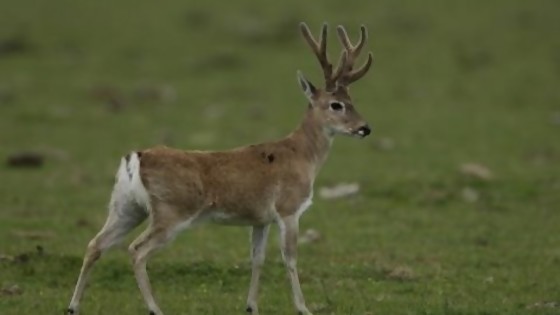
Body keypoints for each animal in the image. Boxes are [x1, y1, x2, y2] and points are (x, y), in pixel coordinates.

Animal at [68, 22, 376, 315]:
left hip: (126, 207)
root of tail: (136, 157)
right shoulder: (288, 209)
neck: (301, 156)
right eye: (336, 104)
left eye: (353, 101)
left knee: (95, 244)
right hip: (171, 210)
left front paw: (251, 306)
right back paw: (155, 308)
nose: (365, 128)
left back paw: (73, 306)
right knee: (136, 250)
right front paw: (303, 307)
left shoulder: (260, 219)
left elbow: (257, 258)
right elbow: (290, 258)